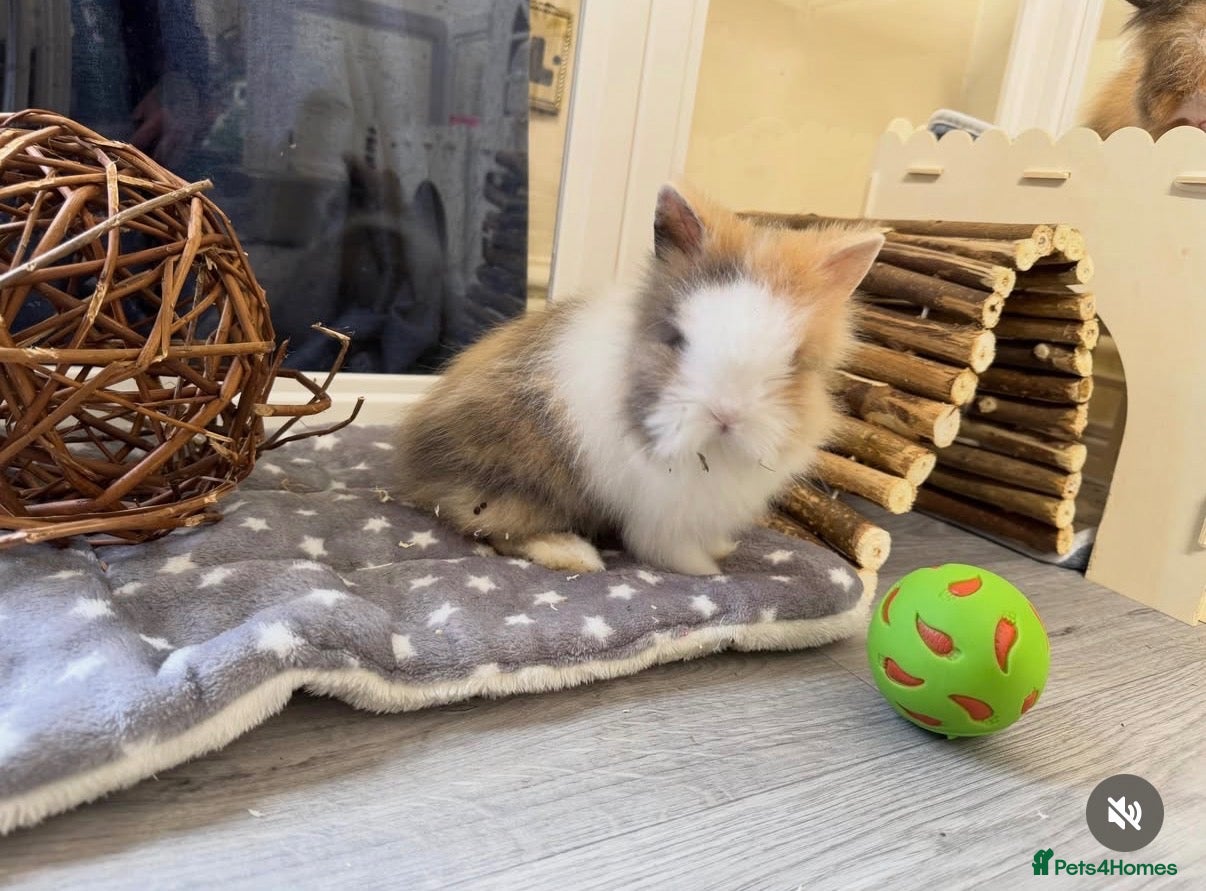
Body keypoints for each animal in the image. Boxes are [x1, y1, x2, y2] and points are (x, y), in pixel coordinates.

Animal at [392, 184, 883, 575]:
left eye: (794, 362)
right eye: (677, 339)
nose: (726, 415)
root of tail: (416, 465)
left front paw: (722, 549)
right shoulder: (663, 508)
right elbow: (669, 547)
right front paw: (705, 571)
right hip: (519, 480)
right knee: (496, 529)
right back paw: (575, 555)